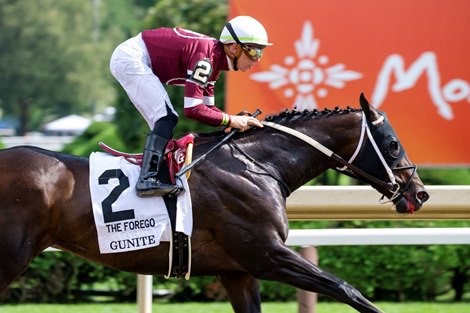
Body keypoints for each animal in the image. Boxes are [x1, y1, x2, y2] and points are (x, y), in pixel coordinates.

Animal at [0, 94, 430, 310]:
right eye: (393, 144)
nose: (420, 192)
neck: (258, 166)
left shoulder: (237, 272)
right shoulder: (267, 255)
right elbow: (346, 289)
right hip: (11, 256)